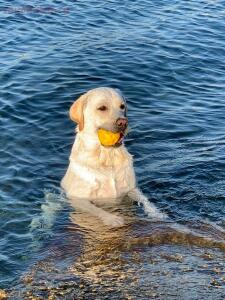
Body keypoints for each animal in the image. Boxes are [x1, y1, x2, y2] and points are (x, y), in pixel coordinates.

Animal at [61, 88, 165, 226]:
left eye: (122, 106)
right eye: (102, 108)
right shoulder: (78, 198)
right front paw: (113, 218)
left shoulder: (131, 189)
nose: (123, 122)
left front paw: (157, 213)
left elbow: (146, 200)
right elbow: (95, 209)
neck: (107, 156)